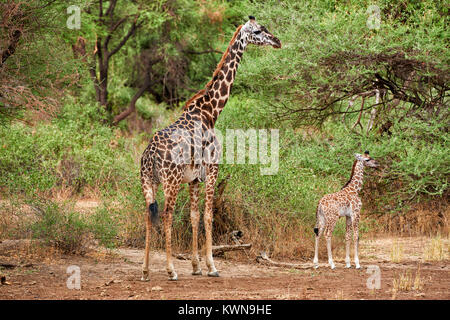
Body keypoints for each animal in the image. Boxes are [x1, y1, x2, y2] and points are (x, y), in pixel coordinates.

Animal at [141, 16, 282, 280]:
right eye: (259, 31)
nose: (277, 41)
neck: (210, 112)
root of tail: (151, 153)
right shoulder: (213, 170)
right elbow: (208, 215)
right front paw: (212, 267)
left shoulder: (194, 179)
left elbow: (194, 216)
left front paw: (196, 266)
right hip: (170, 181)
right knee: (165, 215)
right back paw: (170, 270)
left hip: (148, 181)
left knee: (148, 213)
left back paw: (145, 271)